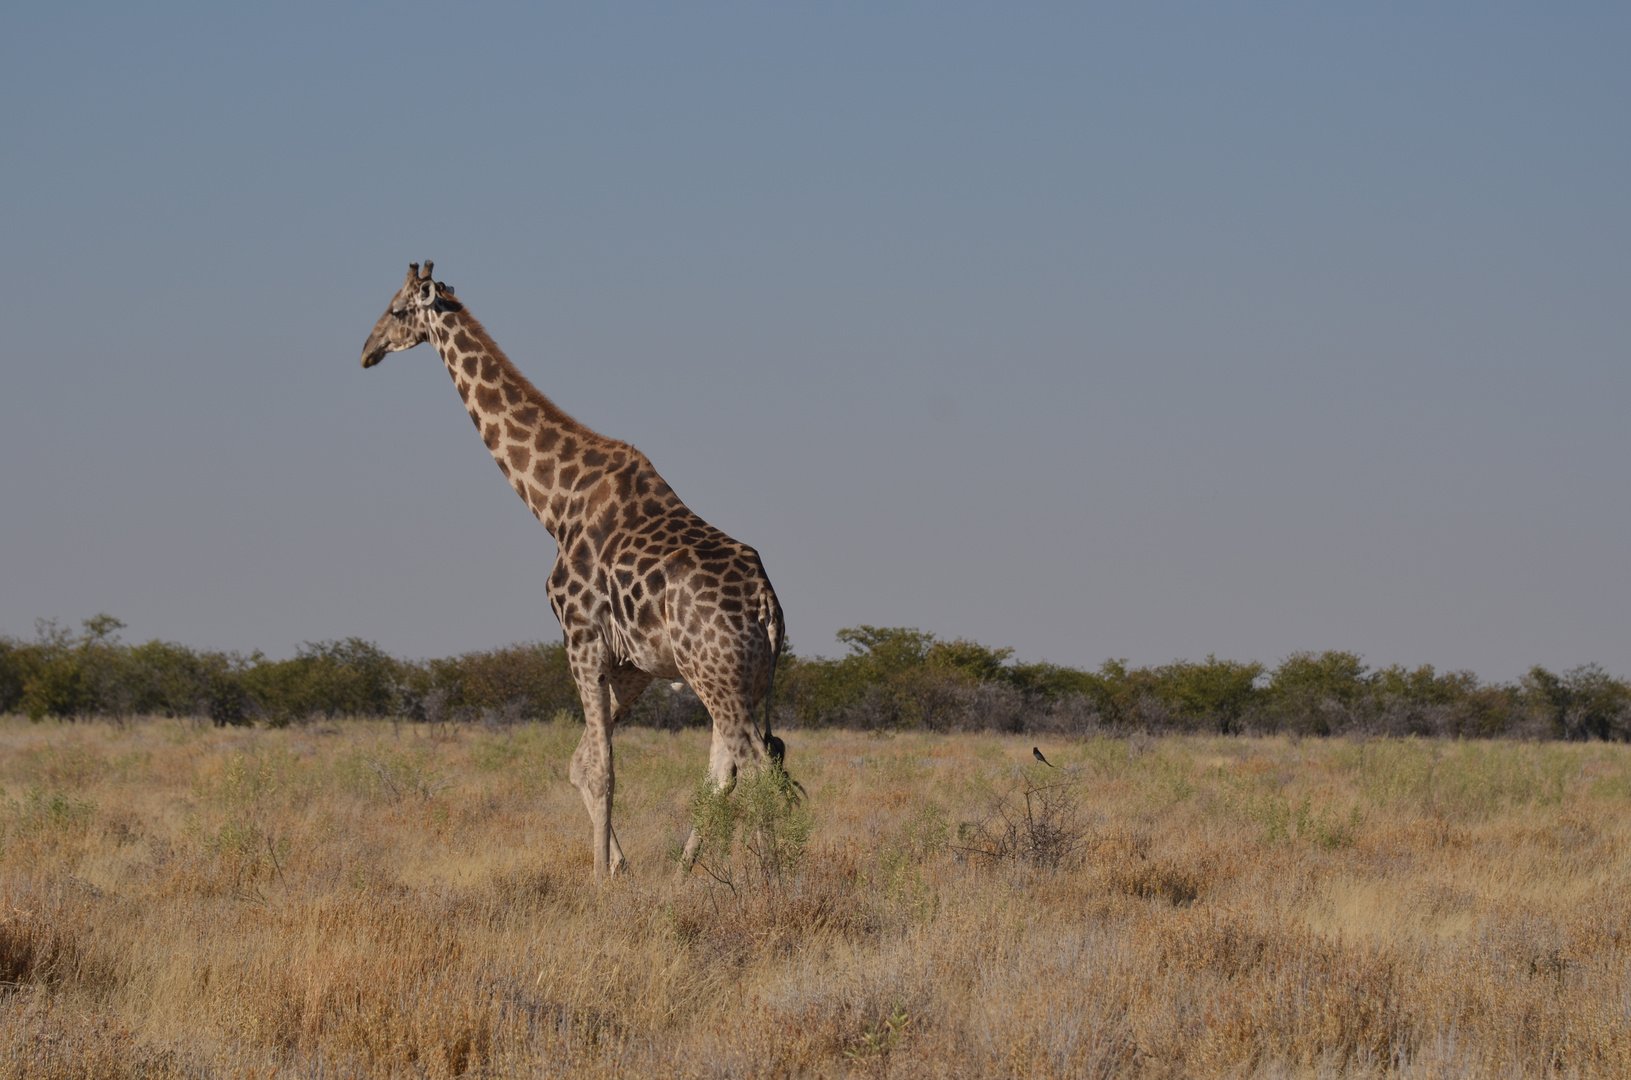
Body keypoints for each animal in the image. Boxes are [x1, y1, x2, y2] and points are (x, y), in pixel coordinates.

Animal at [358, 262, 789, 880]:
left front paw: (598, 879)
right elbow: (582, 761)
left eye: (396, 309)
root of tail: (765, 602)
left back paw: (769, 877)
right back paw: (684, 876)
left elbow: (602, 768)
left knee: (755, 766)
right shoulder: (630, 662)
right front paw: (618, 869)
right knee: (729, 767)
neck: (554, 505)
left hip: (716, 674)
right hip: (738, 678)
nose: (367, 351)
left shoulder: (580, 636)